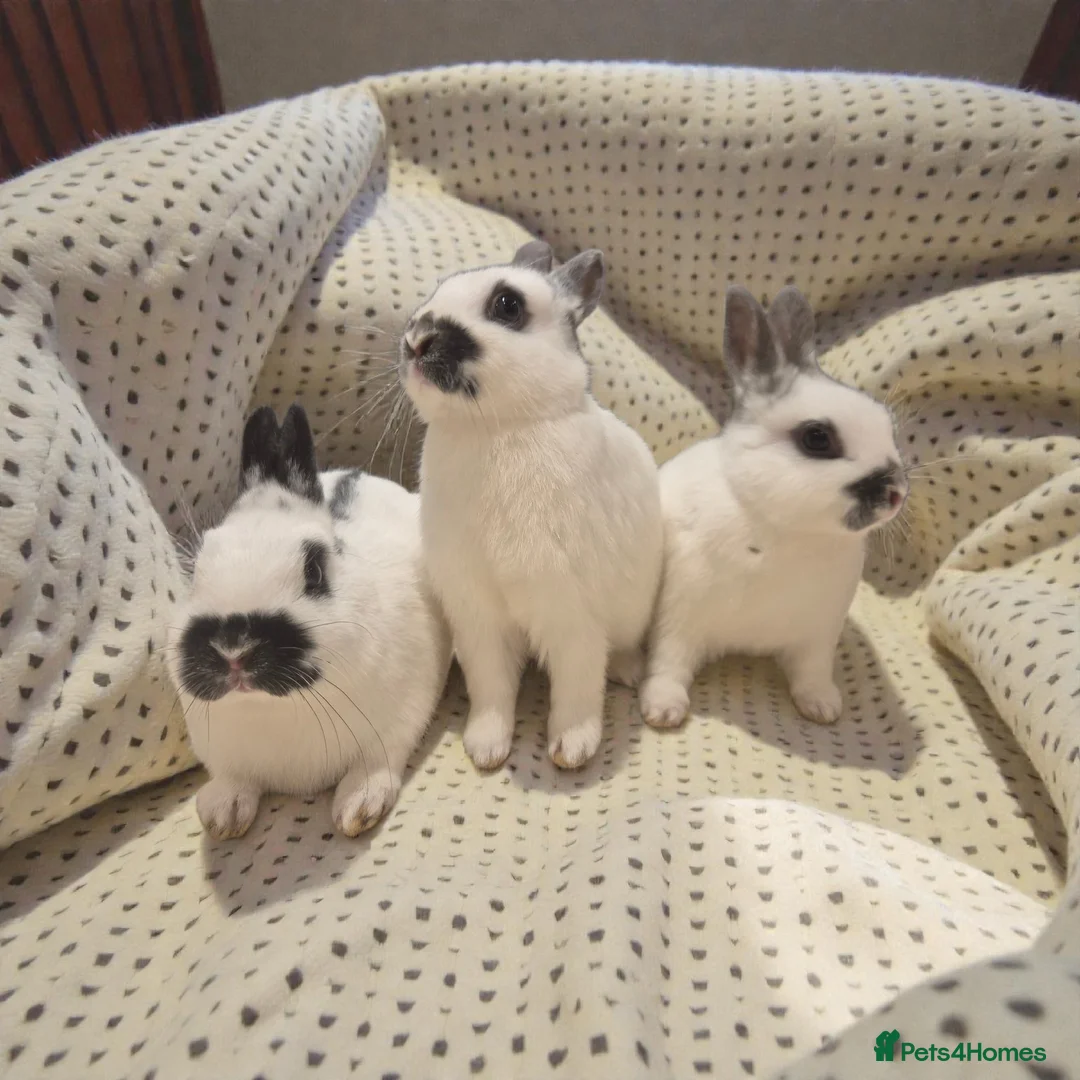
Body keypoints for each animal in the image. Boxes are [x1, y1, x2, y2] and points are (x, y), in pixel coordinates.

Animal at [166, 403, 452, 841]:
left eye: (314, 570)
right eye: (196, 568)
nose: (233, 650)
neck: (275, 707)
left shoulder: (398, 722)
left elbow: (375, 763)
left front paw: (358, 807)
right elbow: (233, 780)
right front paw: (223, 814)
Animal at [399, 240, 663, 771]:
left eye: (507, 305)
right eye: (437, 288)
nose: (417, 340)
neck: (495, 428)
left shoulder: (572, 612)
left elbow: (578, 684)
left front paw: (571, 749)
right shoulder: (477, 618)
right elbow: (491, 687)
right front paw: (485, 749)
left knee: (619, 648)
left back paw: (627, 670)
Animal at [639, 284, 908, 729]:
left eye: (888, 425)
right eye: (817, 438)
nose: (896, 494)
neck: (782, 528)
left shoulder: (819, 634)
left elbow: (813, 673)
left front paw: (824, 708)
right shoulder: (678, 615)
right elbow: (668, 662)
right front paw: (662, 710)